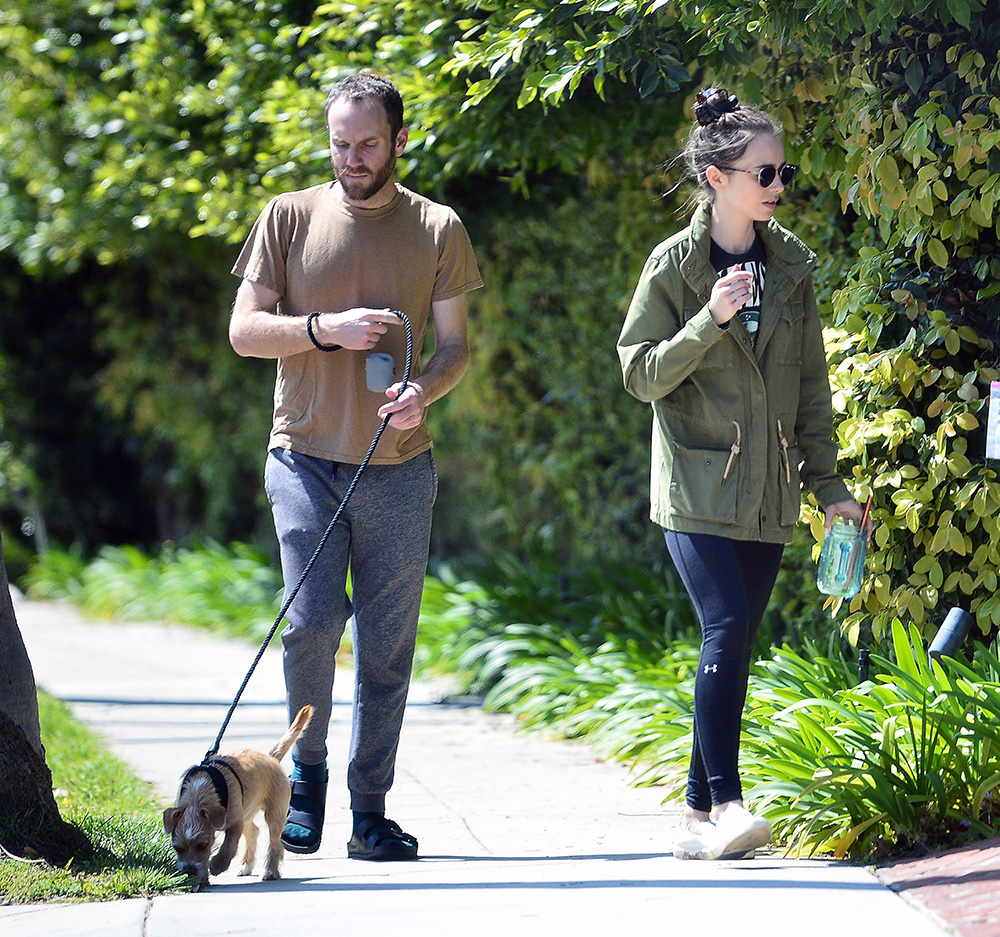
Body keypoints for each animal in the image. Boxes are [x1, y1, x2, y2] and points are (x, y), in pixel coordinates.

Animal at [163, 704, 312, 888]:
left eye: (203, 845)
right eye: (177, 848)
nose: (189, 872)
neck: (199, 793)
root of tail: (271, 758)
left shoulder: (235, 823)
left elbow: (230, 845)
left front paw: (218, 865)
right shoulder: (238, 819)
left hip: (273, 814)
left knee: (274, 842)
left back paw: (270, 871)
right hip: (247, 813)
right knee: (254, 831)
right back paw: (246, 865)